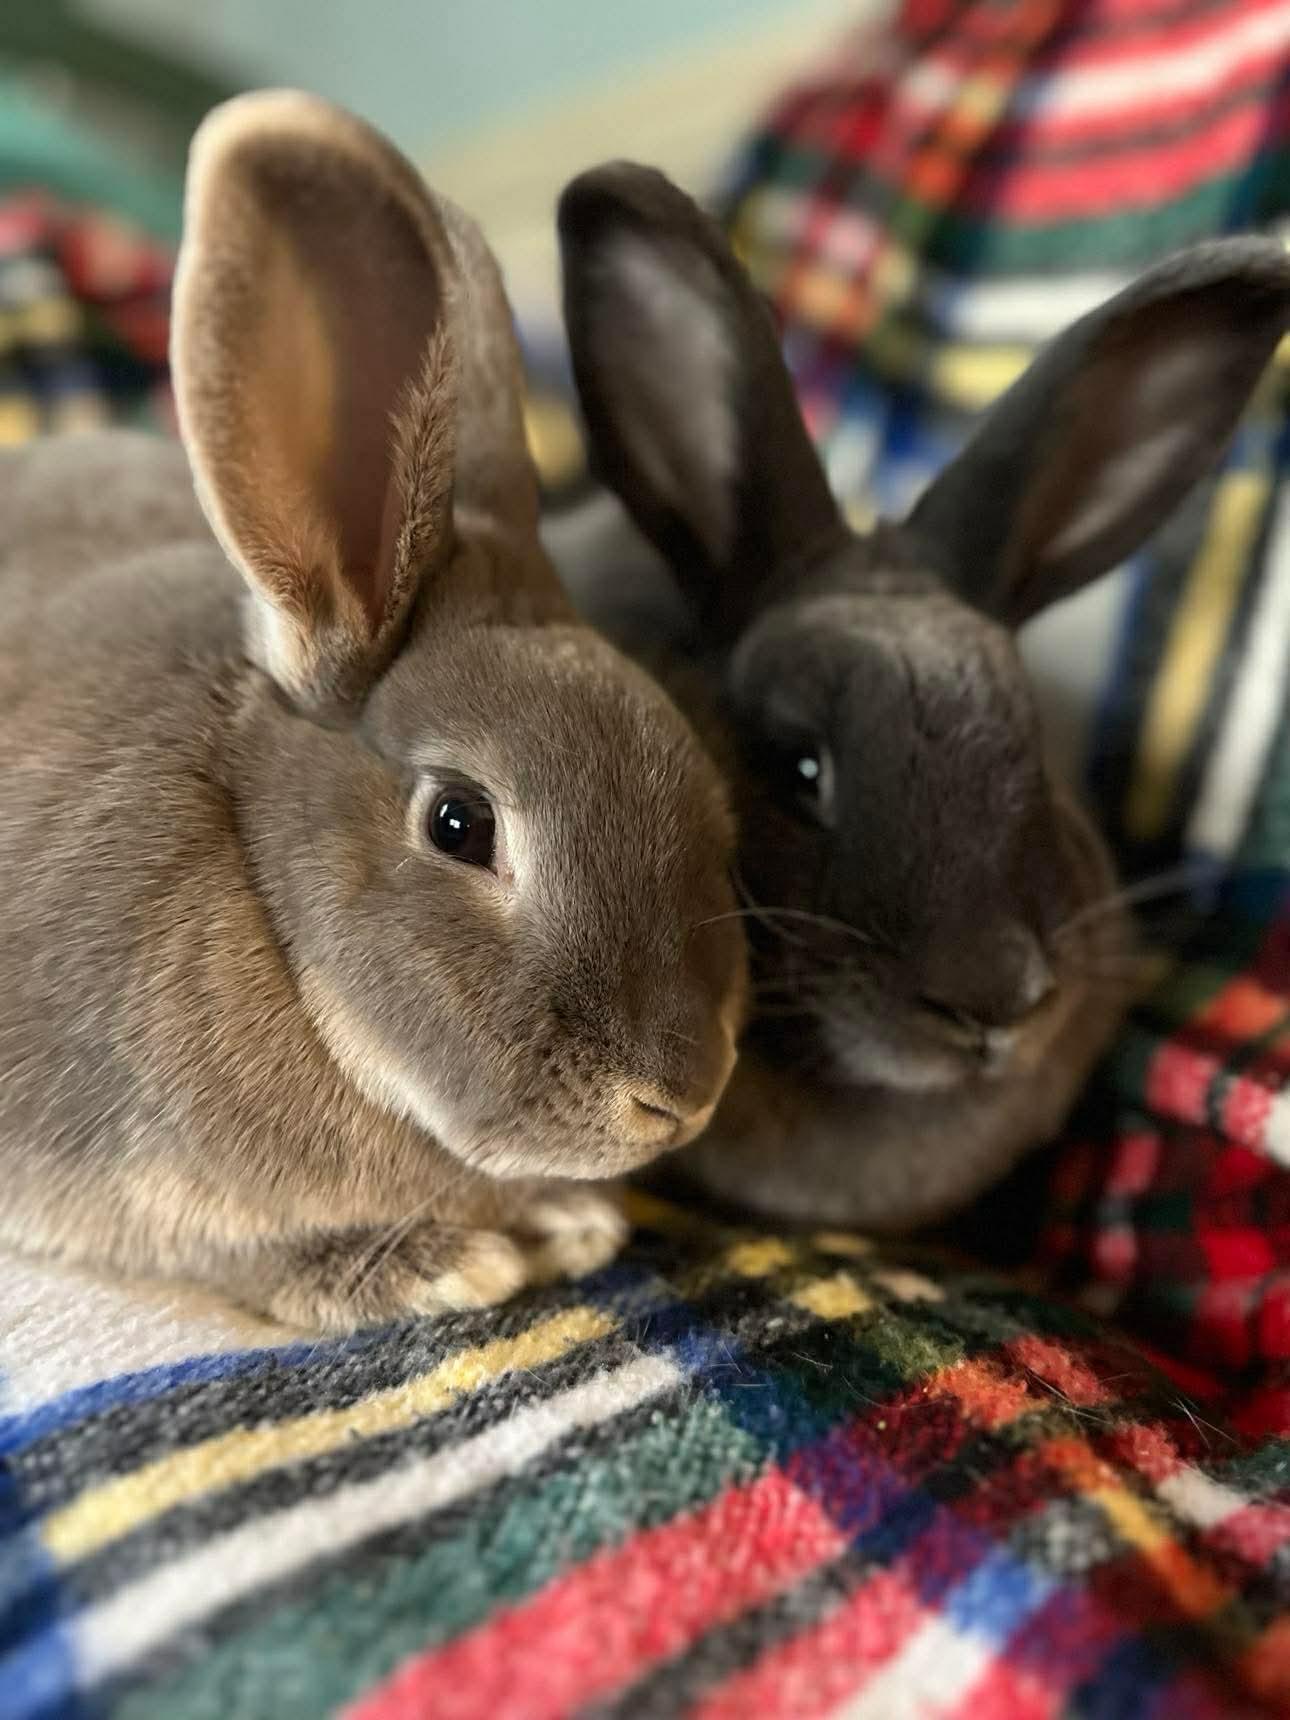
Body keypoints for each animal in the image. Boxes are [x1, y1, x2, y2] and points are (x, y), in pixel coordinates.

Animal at [0, 98, 748, 1334]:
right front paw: (440, 1263)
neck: (266, 893)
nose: (680, 1095)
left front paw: (570, 1222)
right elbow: (233, 1263)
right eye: (459, 823)